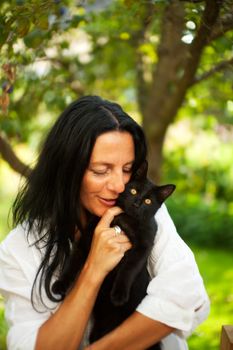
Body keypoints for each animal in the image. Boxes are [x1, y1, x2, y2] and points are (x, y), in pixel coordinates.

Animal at [52, 161, 175, 348]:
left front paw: (118, 295)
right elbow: (72, 264)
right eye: (133, 191)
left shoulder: (143, 247)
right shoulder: (87, 239)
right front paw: (60, 284)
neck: (125, 218)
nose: (137, 203)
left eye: (148, 201)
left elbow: (128, 269)